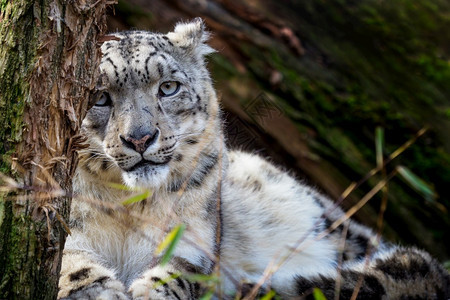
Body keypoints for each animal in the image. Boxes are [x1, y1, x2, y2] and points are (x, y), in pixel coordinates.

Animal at [58, 18, 448, 300]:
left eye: (168, 87)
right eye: (99, 97)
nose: (140, 138)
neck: (130, 205)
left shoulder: (193, 234)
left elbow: (180, 272)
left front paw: (152, 293)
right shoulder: (65, 221)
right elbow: (71, 265)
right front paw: (100, 292)